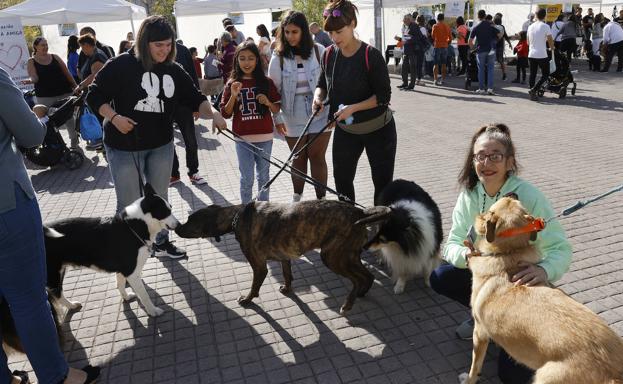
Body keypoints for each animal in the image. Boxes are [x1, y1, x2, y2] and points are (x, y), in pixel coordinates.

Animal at [43, 184, 180, 316]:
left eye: (171, 208)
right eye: (166, 211)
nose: (179, 225)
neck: (135, 226)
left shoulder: (122, 270)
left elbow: (120, 284)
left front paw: (126, 297)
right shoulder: (132, 272)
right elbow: (144, 295)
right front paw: (153, 311)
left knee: (58, 294)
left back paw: (71, 306)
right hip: (53, 275)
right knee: (57, 294)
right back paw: (70, 306)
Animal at [176, 200, 390, 314]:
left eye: (190, 220)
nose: (176, 227)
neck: (237, 216)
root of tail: (360, 212)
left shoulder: (259, 266)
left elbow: (254, 287)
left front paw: (248, 299)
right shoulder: (284, 257)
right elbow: (287, 275)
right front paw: (287, 289)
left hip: (333, 257)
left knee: (357, 279)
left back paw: (348, 304)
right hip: (349, 255)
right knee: (367, 276)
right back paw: (361, 294)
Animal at [458, 198, 623, 384]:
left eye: (492, 208)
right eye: (516, 202)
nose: (512, 193)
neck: (509, 253)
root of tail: (613, 372)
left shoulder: (480, 332)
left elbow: (475, 366)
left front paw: (468, 379)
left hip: (545, 378)